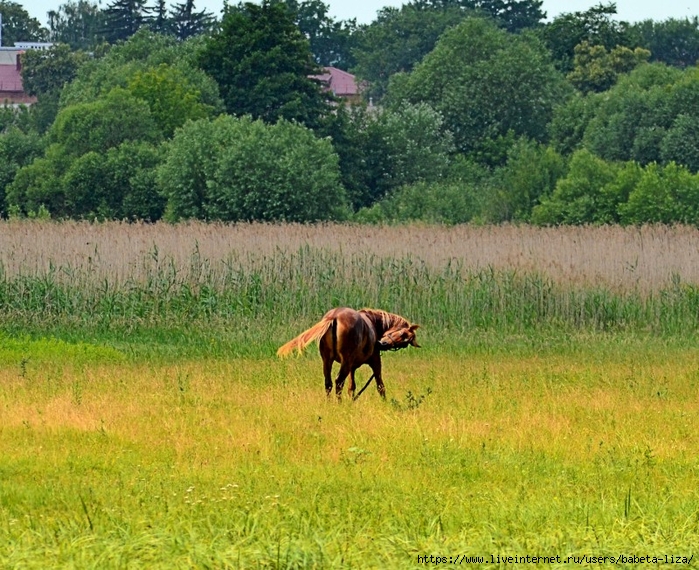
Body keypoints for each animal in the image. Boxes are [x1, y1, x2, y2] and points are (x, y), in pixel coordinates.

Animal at [278, 306, 422, 400]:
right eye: (403, 335)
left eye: (405, 343)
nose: (383, 344)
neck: (373, 322)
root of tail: (334, 316)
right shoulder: (375, 361)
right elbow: (380, 385)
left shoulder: (352, 367)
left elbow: (351, 387)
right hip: (345, 362)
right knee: (338, 382)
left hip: (327, 360)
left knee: (328, 383)